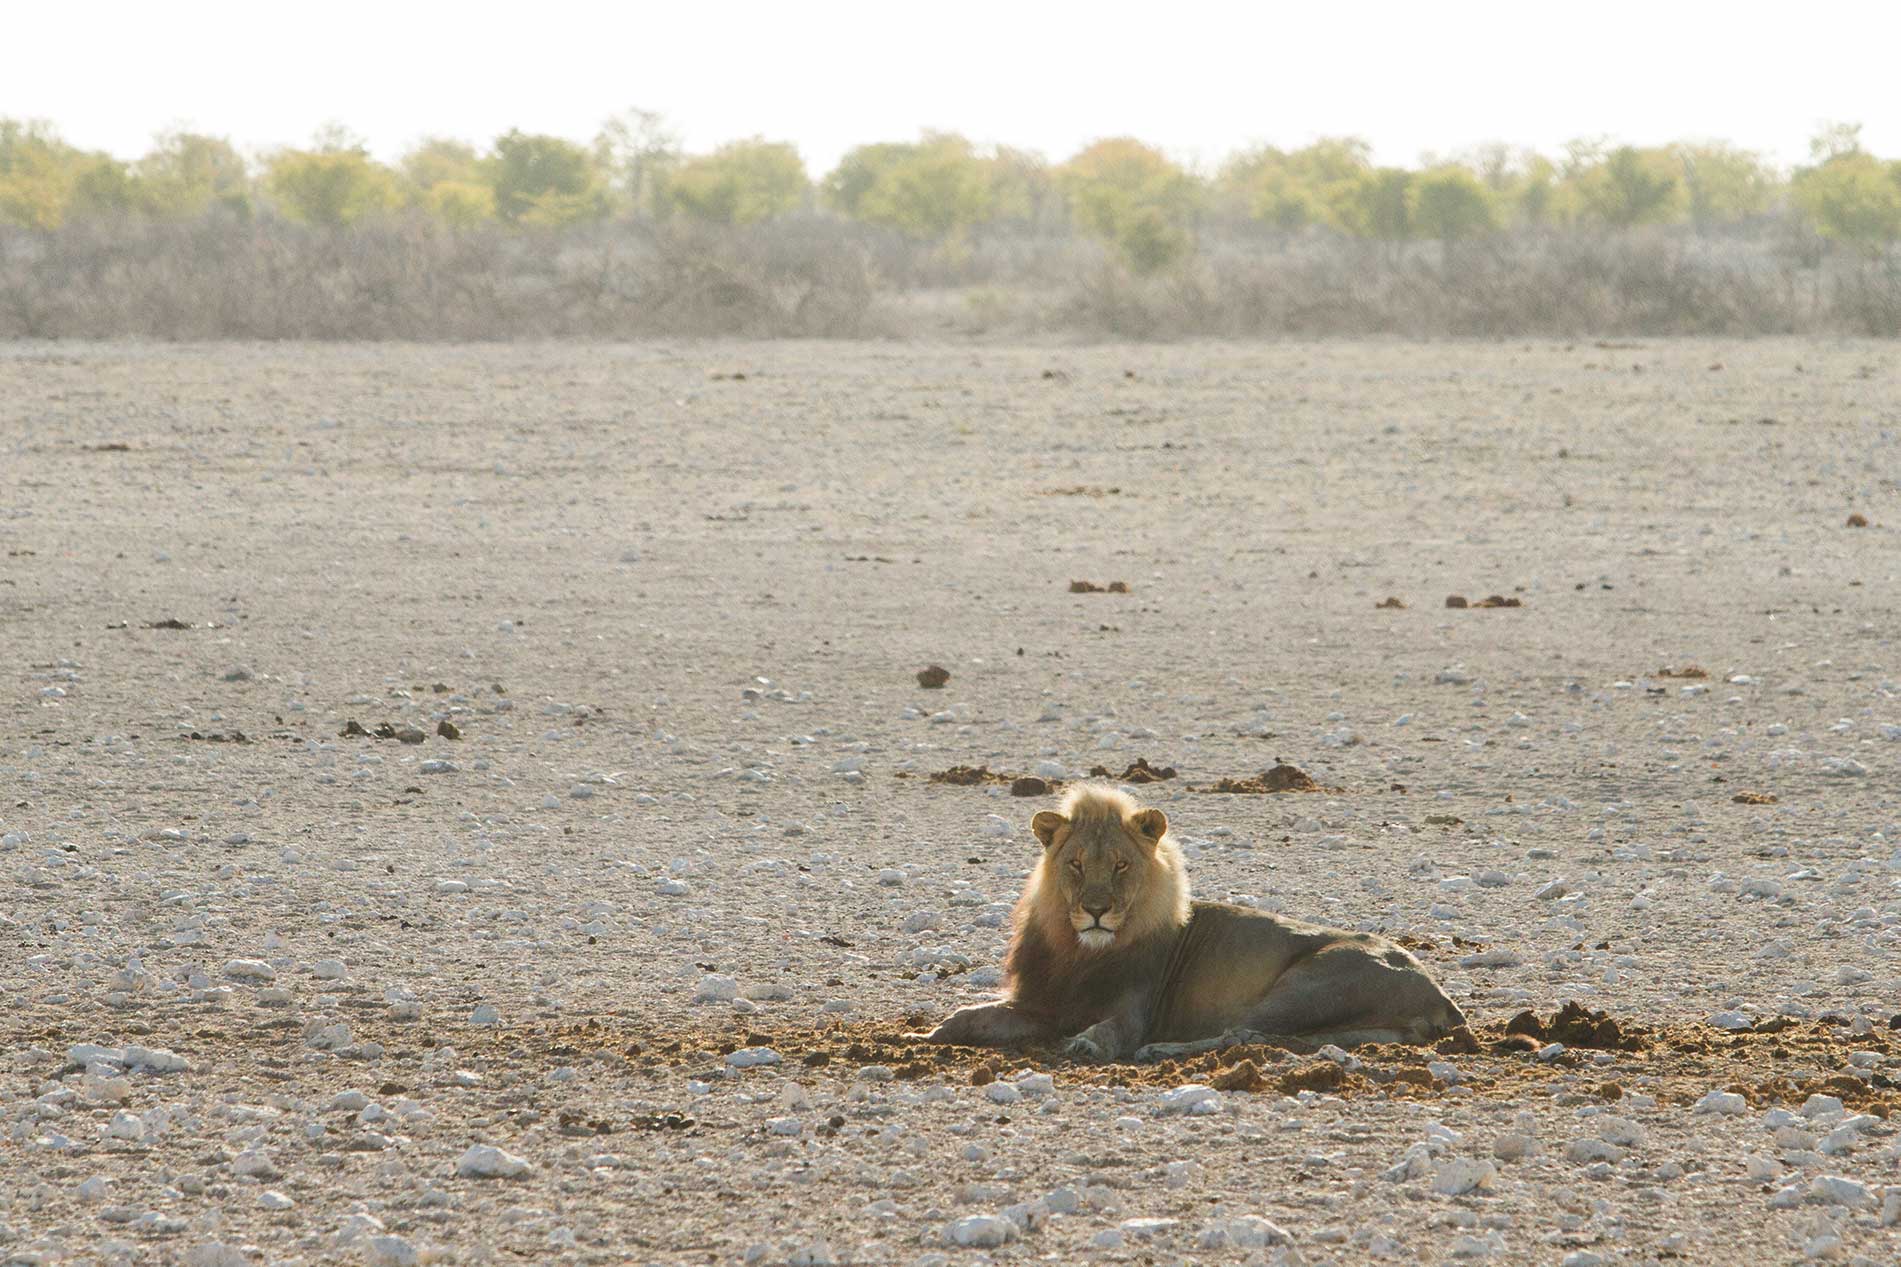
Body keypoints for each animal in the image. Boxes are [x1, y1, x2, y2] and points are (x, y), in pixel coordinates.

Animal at [918, 784, 1466, 1061]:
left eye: (1121, 865)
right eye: (1075, 864)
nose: (1096, 910)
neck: (1081, 952)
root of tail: (1437, 990)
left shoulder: (1133, 1009)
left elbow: (1113, 1031)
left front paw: (1087, 1042)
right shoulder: (1044, 1002)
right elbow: (972, 1015)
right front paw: (927, 1035)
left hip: (1310, 983)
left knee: (1241, 1032)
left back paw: (1159, 1050)